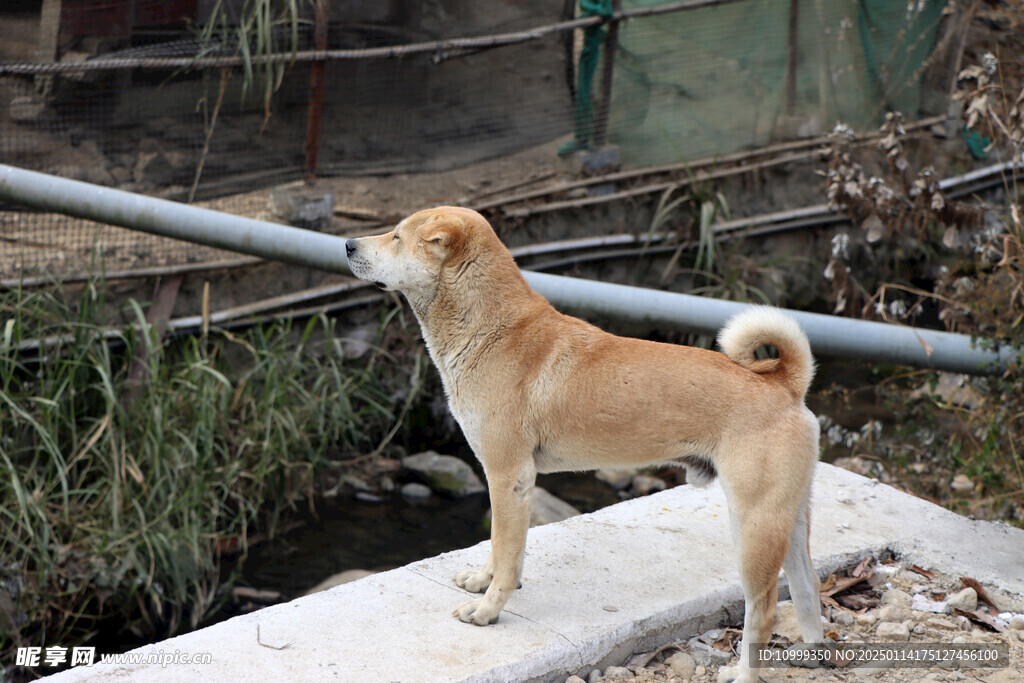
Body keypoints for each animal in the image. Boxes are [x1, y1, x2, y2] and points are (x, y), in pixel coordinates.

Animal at [344, 208, 823, 683]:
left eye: (397, 237)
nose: (347, 245)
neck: (494, 330)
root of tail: (785, 385)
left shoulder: (508, 478)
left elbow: (506, 554)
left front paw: (488, 610)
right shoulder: (508, 483)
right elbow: (501, 549)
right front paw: (483, 582)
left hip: (754, 527)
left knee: (762, 610)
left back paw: (742, 673)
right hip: (789, 522)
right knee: (809, 591)